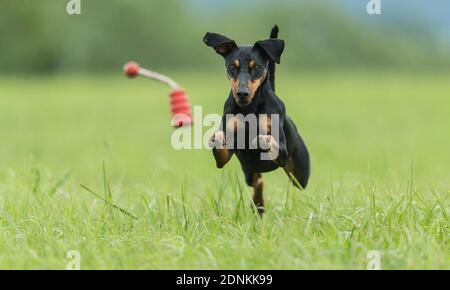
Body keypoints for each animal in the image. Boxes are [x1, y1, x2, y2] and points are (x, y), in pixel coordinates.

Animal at [203, 25, 310, 215]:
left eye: (257, 67)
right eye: (232, 66)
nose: (242, 93)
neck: (249, 109)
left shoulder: (282, 151)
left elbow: (270, 141)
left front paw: (261, 140)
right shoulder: (223, 158)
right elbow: (222, 146)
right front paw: (217, 137)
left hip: (300, 176)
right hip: (249, 171)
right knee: (258, 182)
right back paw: (258, 205)